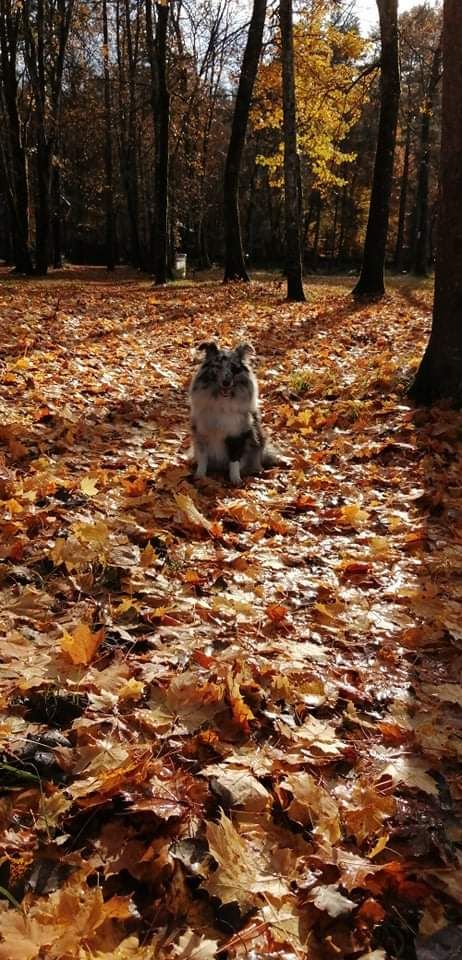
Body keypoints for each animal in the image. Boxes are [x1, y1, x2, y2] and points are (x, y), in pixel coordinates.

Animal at [189, 342, 282, 484]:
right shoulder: (201, 433)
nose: (226, 383)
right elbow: (203, 458)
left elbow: (234, 460)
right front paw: (200, 476)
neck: (221, 401)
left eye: (234, 368)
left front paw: (235, 479)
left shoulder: (237, 434)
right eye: (217, 366)